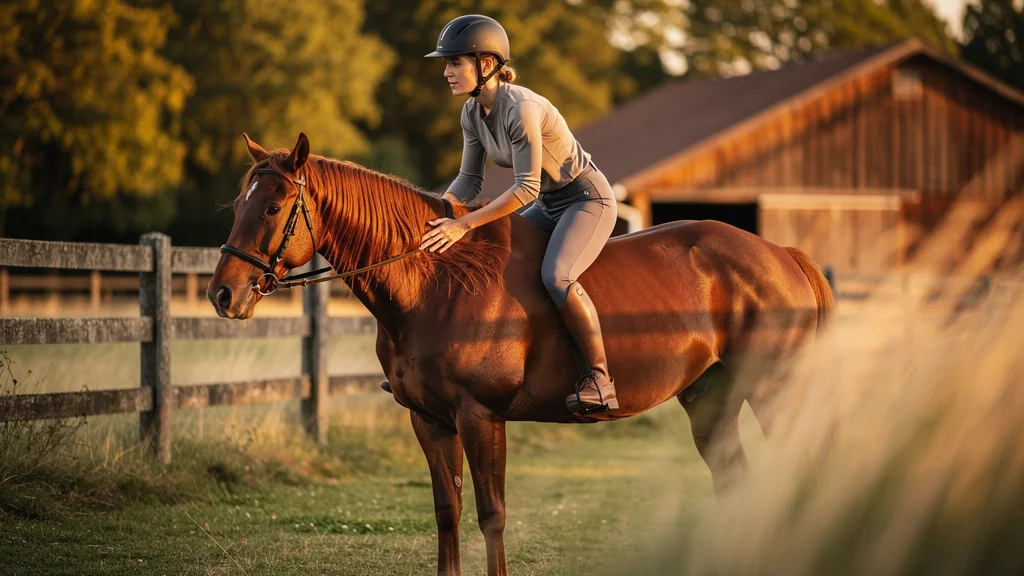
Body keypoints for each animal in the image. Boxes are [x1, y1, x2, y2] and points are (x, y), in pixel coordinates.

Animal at [208, 133, 835, 576]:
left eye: (272, 209)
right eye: (238, 203)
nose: (223, 295)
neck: (436, 281)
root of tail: (781, 253)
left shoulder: (480, 416)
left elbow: (492, 515)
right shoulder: (429, 421)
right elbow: (447, 513)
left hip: (776, 392)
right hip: (710, 399)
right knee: (736, 478)